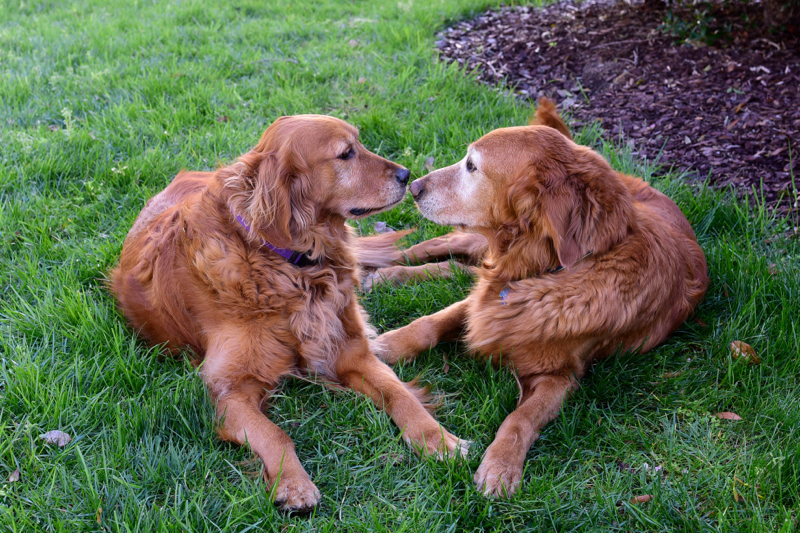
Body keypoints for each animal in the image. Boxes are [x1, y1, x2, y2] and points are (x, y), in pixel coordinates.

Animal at [374, 100, 708, 498]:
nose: (413, 185)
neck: (544, 269)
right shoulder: (483, 305)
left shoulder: (560, 376)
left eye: (471, 165)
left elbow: (520, 418)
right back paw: (378, 270)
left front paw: (500, 466)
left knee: (454, 267)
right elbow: (431, 323)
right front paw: (386, 346)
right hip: (470, 239)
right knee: (426, 250)